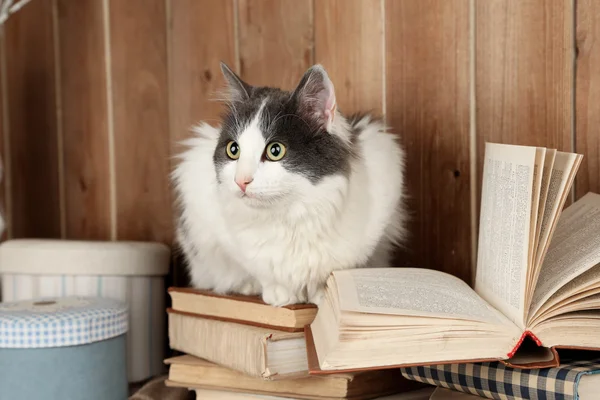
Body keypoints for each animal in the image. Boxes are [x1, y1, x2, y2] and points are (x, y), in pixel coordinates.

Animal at [171, 62, 410, 306]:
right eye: (233, 150)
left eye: (275, 150)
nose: (241, 181)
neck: (289, 214)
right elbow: (260, 270)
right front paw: (277, 293)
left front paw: (322, 295)